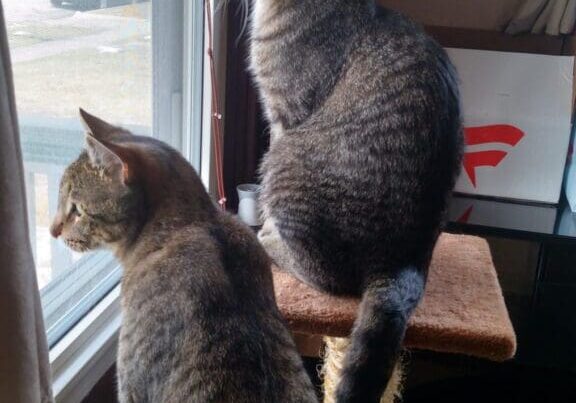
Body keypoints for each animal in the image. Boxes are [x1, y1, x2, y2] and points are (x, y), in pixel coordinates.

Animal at [251, 1, 464, 402]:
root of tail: (405, 263)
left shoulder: (285, 116)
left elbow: (268, 209)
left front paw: (265, 226)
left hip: (284, 159)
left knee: (323, 276)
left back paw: (267, 241)